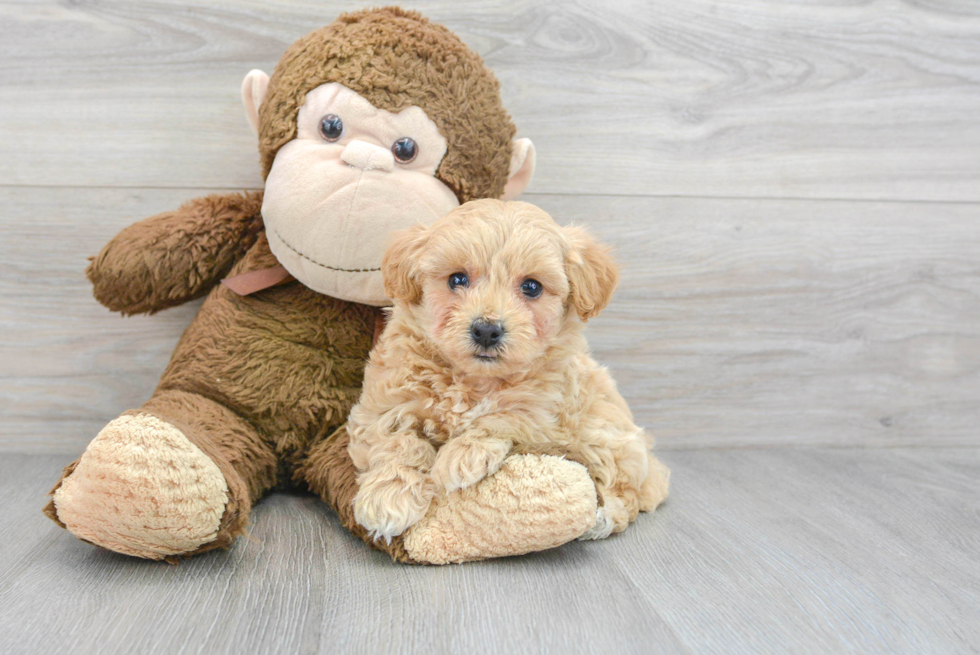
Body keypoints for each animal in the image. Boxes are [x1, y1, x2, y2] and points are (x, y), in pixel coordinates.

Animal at [344, 199, 668, 544]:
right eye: (456, 279)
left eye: (532, 287)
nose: (486, 330)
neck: (474, 381)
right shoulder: (384, 405)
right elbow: (397, 441)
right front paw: (387, 500)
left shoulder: (547, 415)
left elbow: (504, 417)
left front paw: (461, 456)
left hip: (606, 436)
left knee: (625, 493)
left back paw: (601, 518)